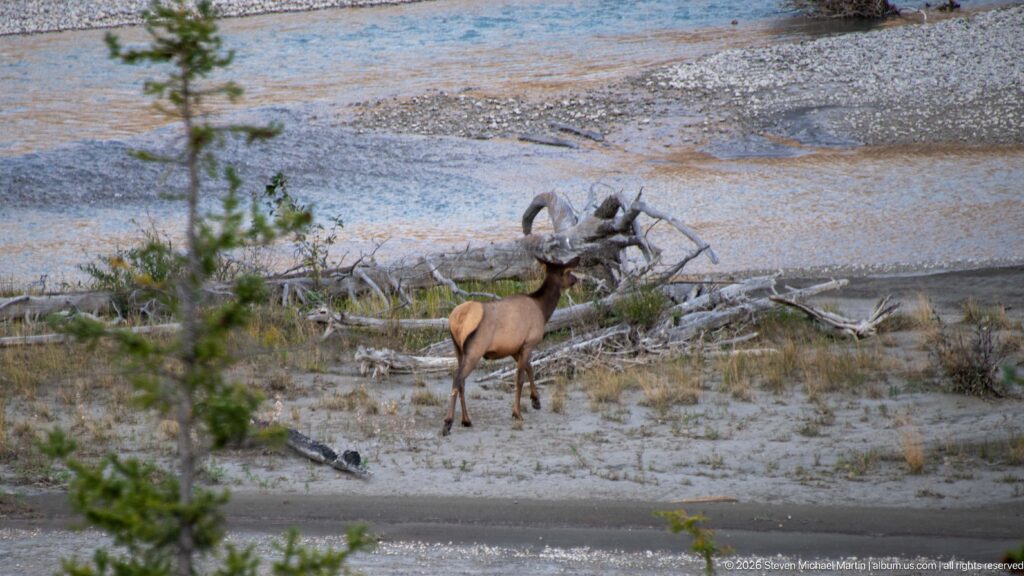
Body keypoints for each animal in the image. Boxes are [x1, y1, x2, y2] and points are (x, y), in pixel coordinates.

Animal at [442, 257, 579, 436]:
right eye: (568, 272)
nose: (577, 279)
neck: (543, 311)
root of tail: (456, 320)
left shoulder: (515, 348)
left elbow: (529, 368)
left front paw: (536, 400)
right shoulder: (529, 342)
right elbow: (520, 379)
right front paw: (517, 413)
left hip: (458, 349)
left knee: (462, 382)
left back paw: (466, 420)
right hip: (475, 350)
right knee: (457, 379)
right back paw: (448, 423)